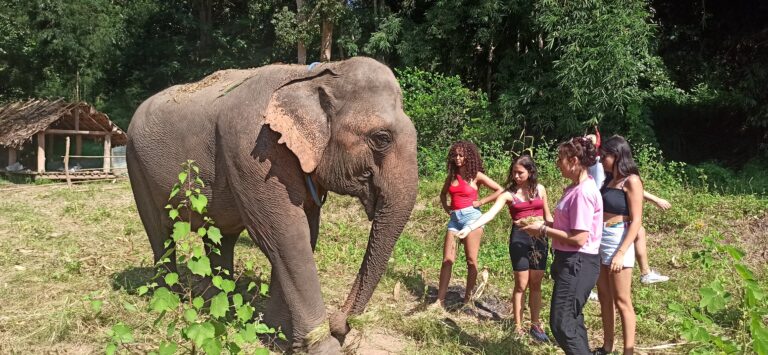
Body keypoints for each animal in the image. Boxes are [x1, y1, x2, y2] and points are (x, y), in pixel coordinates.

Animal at [127, 57, 414, 354]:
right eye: (381, 138)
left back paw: (217, 304)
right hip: (135, 165)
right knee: (159, 233)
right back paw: (168, 298)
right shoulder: (253, 150)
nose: (339, 322)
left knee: (220, 238)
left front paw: (276, 335)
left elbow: (305, 233)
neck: (315, 75)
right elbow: (286, 236)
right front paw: (322, 347)